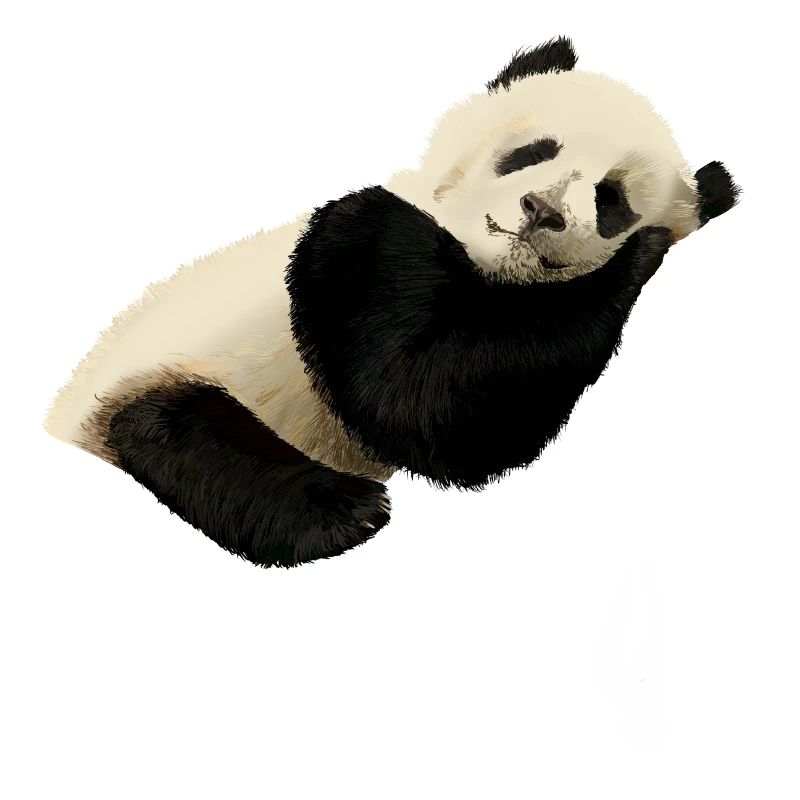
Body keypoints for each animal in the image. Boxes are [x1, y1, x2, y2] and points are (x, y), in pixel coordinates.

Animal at [45, 37, 739, 568]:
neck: (479, 262)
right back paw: (340, 509)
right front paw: (633, 261)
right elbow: (408, 399)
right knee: (182, 434)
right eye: (533, 152)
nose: (541, 210)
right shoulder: (351, 245)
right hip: (159, 378)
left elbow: (471, 421)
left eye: (611, 200)